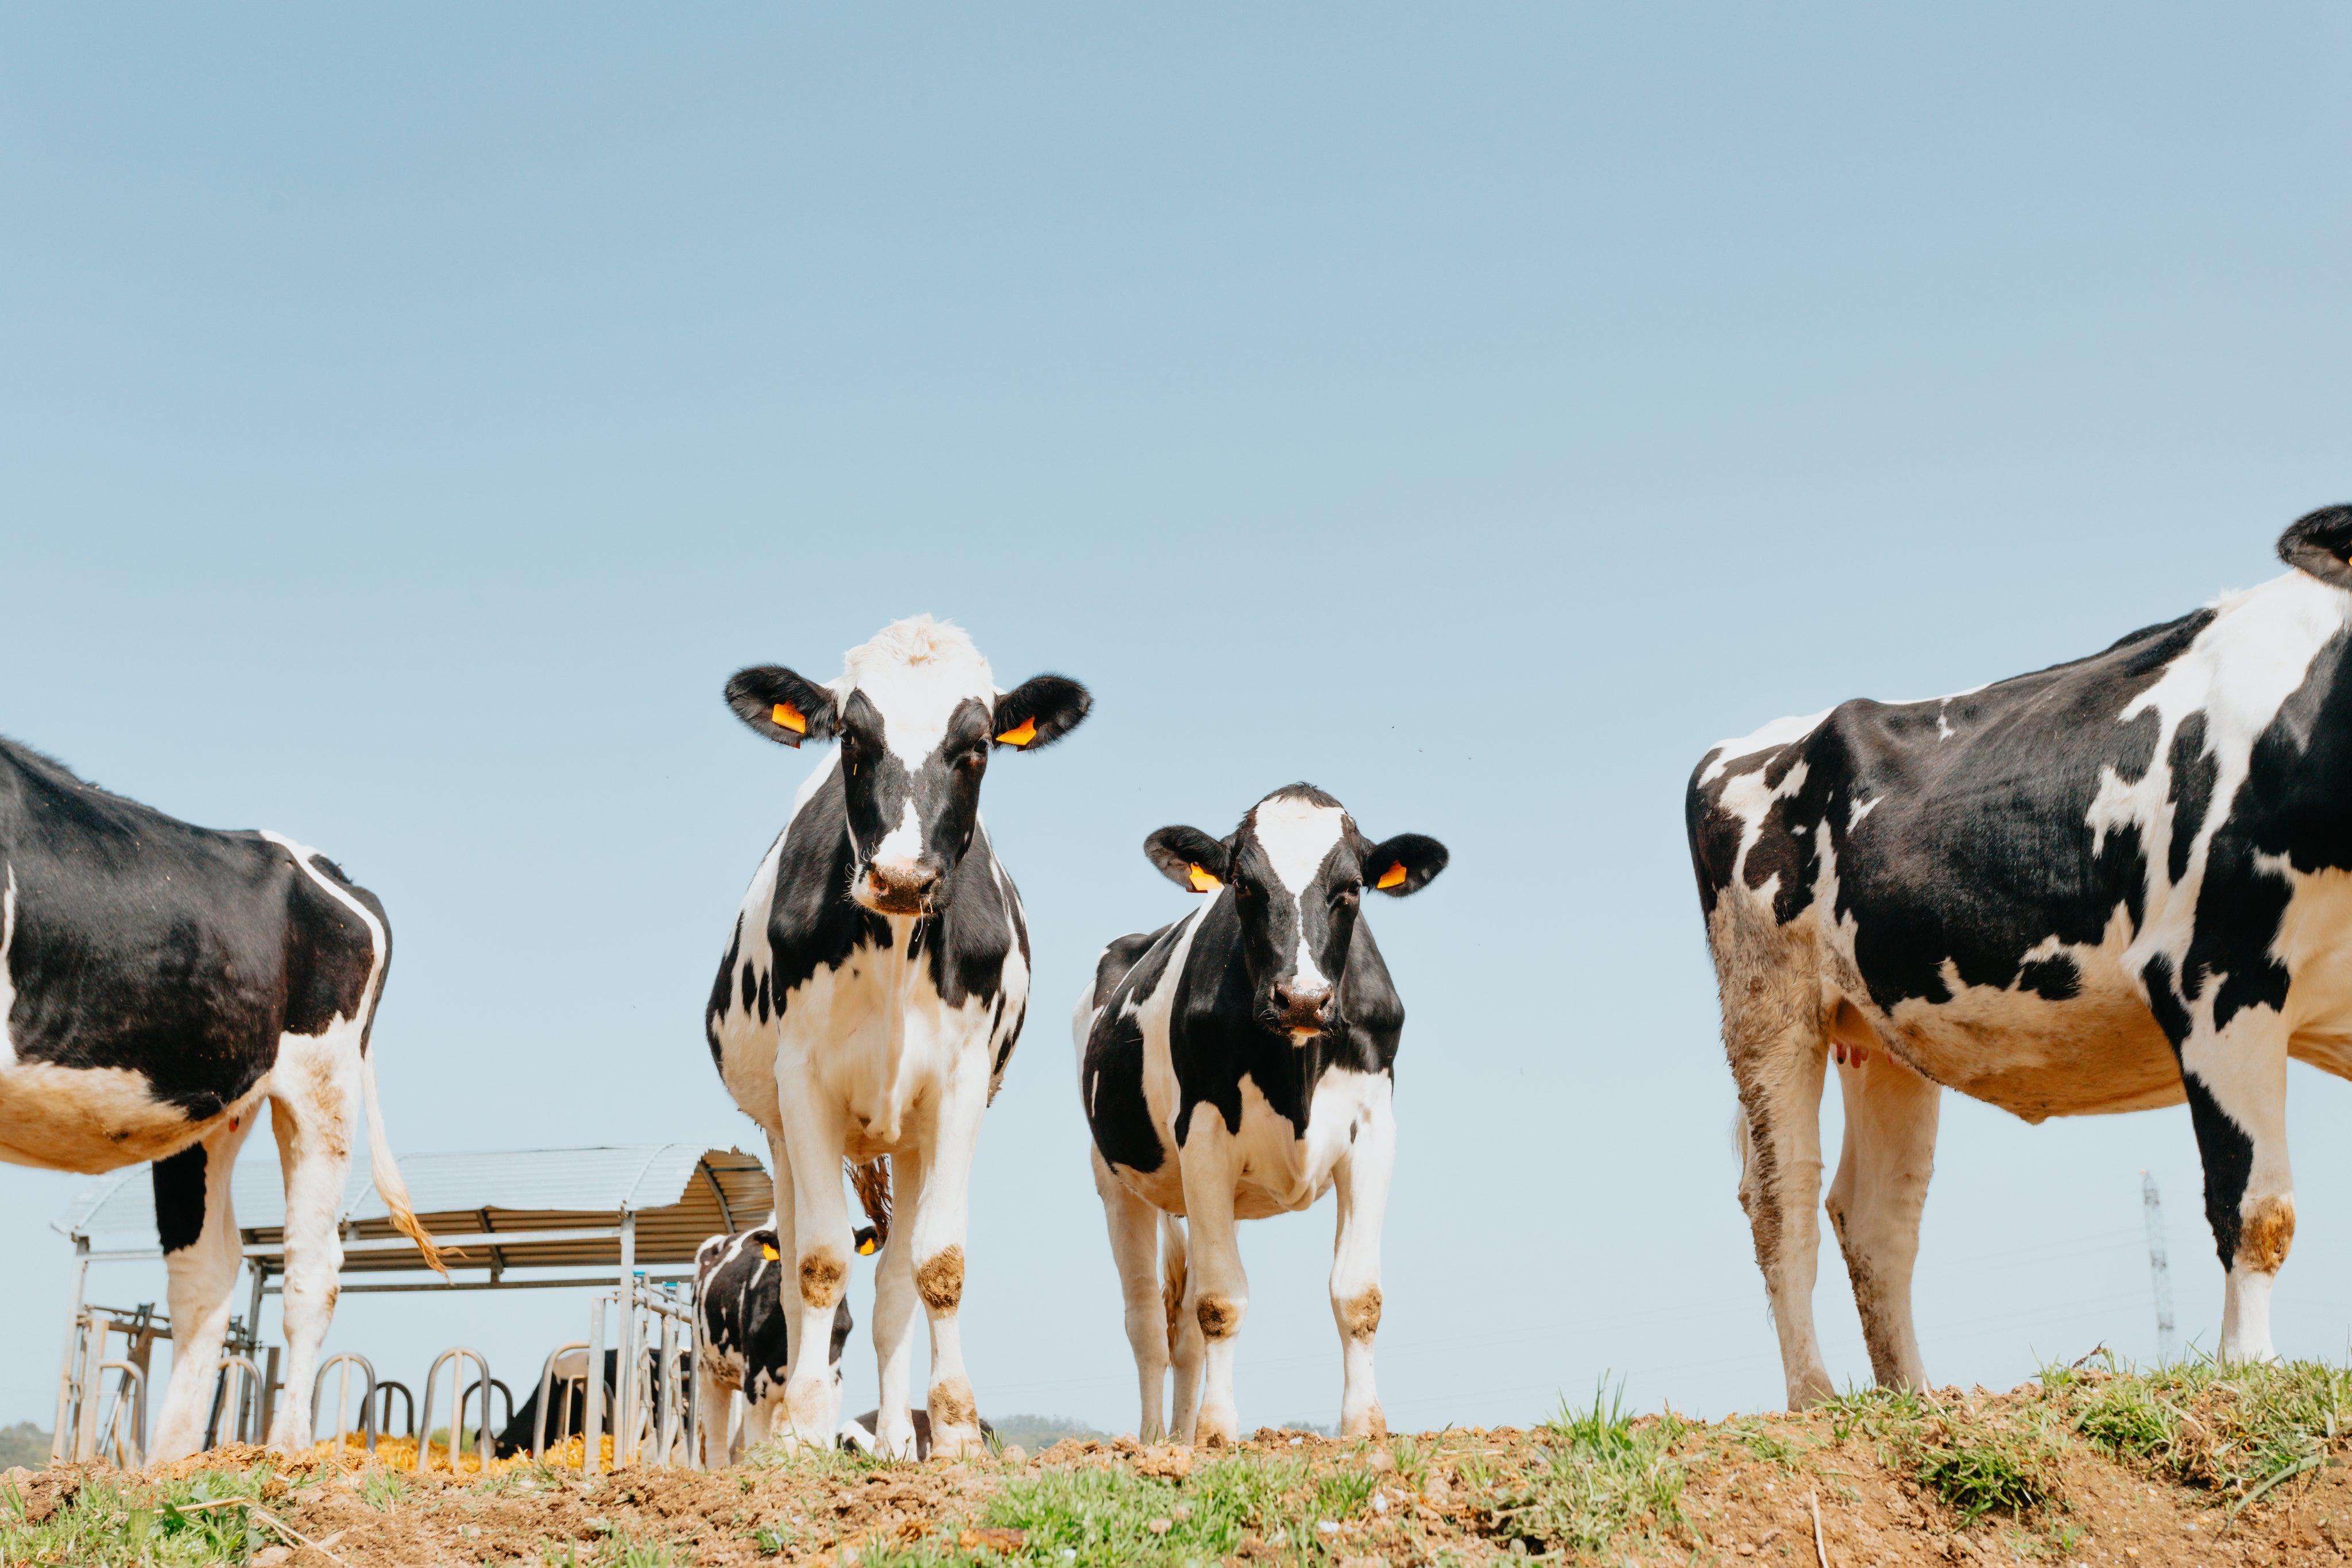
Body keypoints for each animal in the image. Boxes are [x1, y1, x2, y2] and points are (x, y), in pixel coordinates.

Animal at [0, 736, 441, 1459]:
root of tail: (326, 869)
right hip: (205, 1108)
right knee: (206, 1272)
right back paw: (168, 1464)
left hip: (321, 1081)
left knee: (311, 1269)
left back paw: (286, 1450)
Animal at [704, 615, 1090, 1459]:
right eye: (853, 735)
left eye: (976, 744)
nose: (903, 877)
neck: (893, 945)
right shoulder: (803, 1088)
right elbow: (818, 1262)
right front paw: (805, 1429)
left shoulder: (961, 1088)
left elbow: (937, 1264)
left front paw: (954, 1431)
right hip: (782, 1132)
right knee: (799, 1272)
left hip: (910, 1140)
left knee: (891, 1293)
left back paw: (890, 1443)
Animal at [1076, 783, 1448, 1446]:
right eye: (1244, 885)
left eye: (1352, 887)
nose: (1301, 999)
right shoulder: (1203, 1137)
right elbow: (1221, 1302)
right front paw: (1218, 1429)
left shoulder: (1373, 1132)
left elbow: (1357, 1294)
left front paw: (1363, 1424)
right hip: (1116, 1180)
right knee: (1147, 1321)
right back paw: (1155, 1440)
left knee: (1183, 1330)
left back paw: (1180, 1434)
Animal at [1685, 504, 2352, 1408]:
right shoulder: (2213, 974)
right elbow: (2253, 1205)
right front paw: (2249, 1370)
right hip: (1767, 1002)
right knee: (1780, 1193)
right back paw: (1814, 1396)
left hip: (1883, 1027)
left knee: (1875, 1215)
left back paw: (1914, 1395)